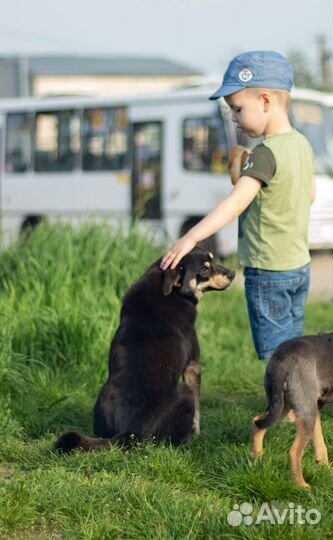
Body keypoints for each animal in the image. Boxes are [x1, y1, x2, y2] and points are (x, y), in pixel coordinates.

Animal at [55, 247, 233, 454]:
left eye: (212, 259)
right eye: (204, 269)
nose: (233, 274)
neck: (171, 291)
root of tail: (131, 432)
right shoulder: (193, 365)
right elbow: (198, 409)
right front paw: (197, 431)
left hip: (102, 400)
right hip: (185, 392)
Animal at [252, 334, 332, 490]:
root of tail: (281, 358)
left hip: (283, 405)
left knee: (257, 423)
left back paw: (257, 459)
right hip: (306, 411)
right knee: (294, 452)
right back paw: (301, 485)